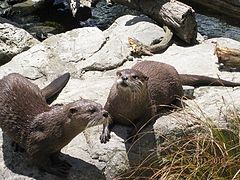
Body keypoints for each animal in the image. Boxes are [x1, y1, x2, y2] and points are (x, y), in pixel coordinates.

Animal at [100, 60, 240, 143]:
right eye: (120, 74)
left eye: (134, 76)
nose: (124, 77)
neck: (126, 109)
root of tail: (175, 71)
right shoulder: (109, 106)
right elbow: (106, 118)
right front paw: (104, 134)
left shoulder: (150, 109)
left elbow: (143, 121)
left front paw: (133, 133)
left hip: (177, 87)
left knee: (180, 99)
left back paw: (173, 106)